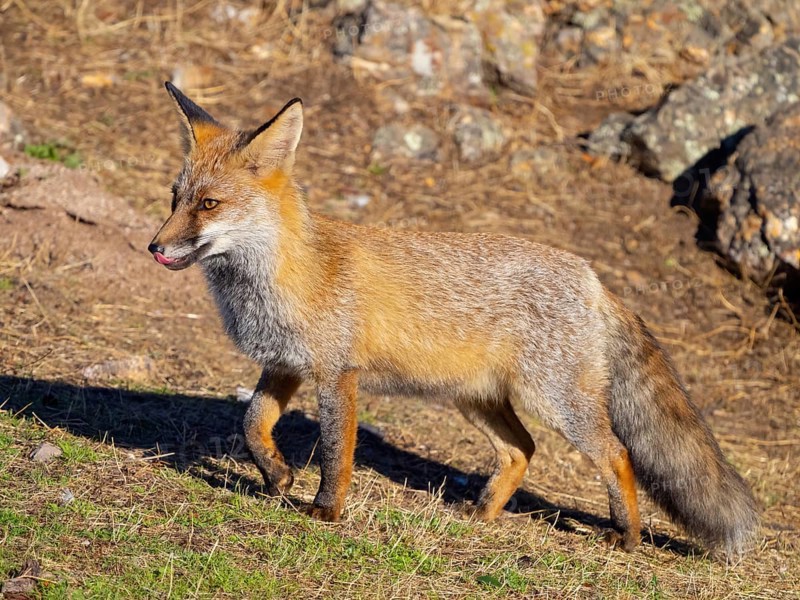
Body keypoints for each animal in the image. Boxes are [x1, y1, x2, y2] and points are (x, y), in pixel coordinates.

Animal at [148, 82, 759, 556]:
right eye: (175, 198)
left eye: (208, 204)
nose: (154, 247)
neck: (284, 275)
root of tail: (595, 279)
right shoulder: (285, 366)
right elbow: (252, 423)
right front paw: (276, 476)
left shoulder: (336, 375)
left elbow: (335, 454)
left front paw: (326, 512)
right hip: (477, 400)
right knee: (522, 450)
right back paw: (483, 515)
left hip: (555, 402)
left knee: (617, 454)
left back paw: (626, 537)